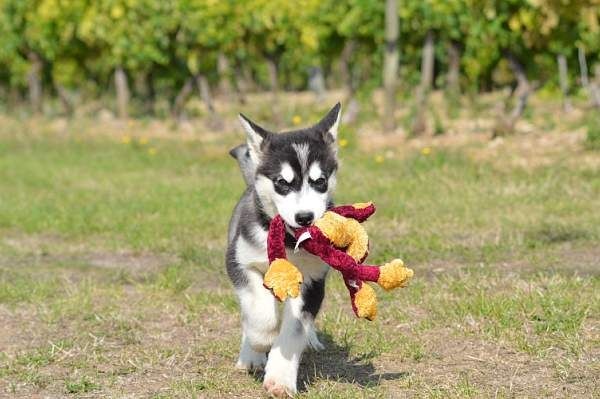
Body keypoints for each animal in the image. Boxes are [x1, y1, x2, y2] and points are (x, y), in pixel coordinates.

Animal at [225, 104, 340, 398]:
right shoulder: (240, 263)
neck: (287, 241)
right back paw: (250, 353)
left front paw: (281, 380)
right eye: (282, 183)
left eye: (320, 181)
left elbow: (294, 331)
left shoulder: (311, 280)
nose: (305, 217)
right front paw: (260, 339)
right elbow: (259, 310)